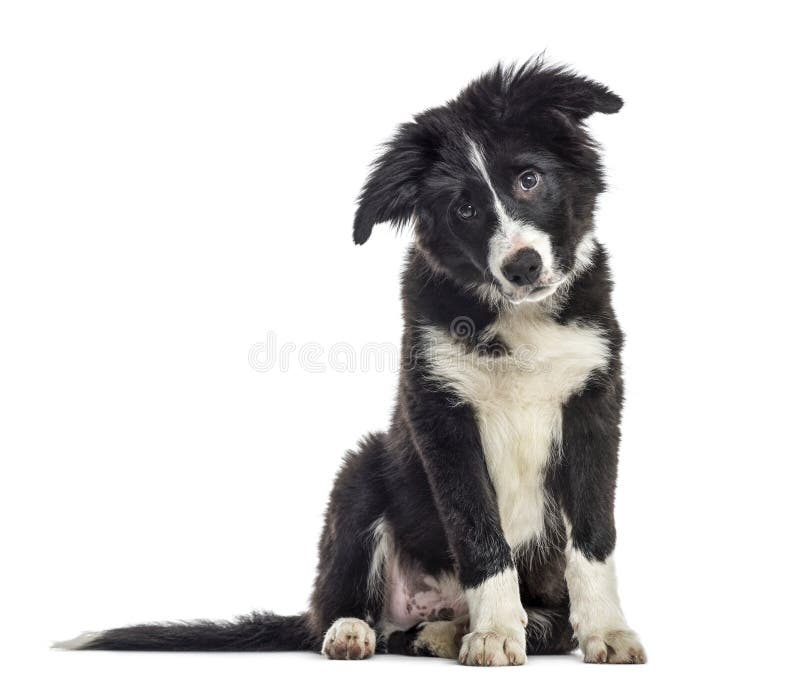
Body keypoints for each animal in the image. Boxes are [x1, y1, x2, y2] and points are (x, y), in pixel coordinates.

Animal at [61, 59, 648, 668]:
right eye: (464, 208)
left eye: (528, 180)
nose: (523, 266)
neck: (517, 317)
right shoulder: (440, 416)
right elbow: (480, 535)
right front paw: (493, 633)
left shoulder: (595, 405)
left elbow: (593, 536)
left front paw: (606, 631)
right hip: (360, 473)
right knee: (352, 608)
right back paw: (361, 631)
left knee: (533, 623)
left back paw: (453, 631)